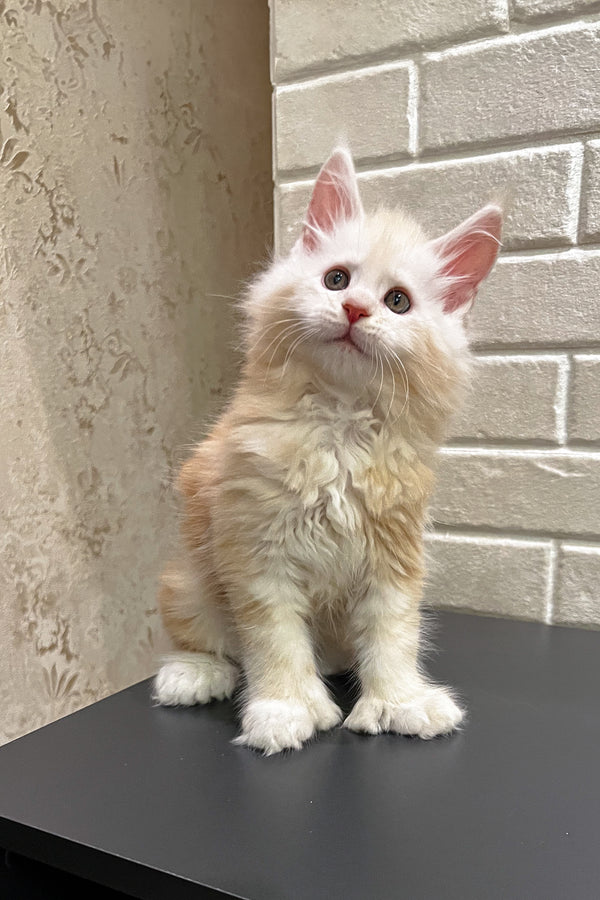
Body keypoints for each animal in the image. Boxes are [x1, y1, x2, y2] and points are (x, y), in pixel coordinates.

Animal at [154, 148, 502, 752]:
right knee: (203, 636)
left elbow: (393, 637)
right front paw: (285, 708)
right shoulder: (255, 550)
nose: (357, 309)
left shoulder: (395, 556)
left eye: (397, 301)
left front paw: (400, 702)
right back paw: (194, 673)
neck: (339, 426)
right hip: (190, 578)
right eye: (336, 279)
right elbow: (273, 641)